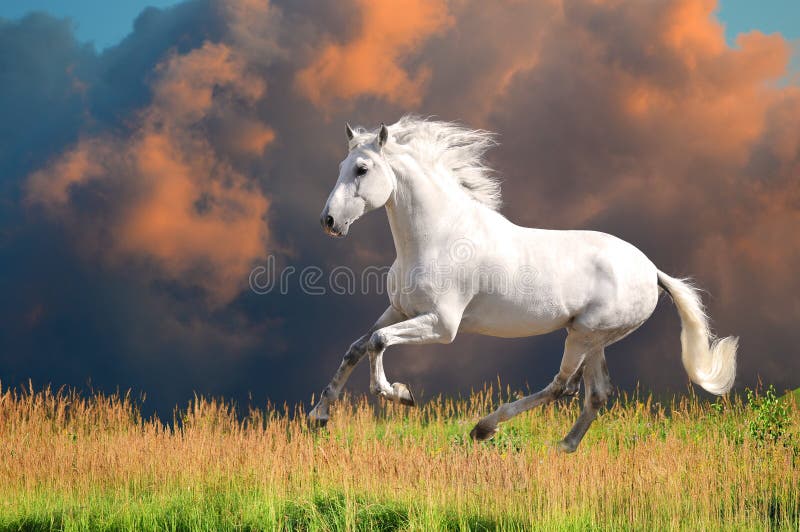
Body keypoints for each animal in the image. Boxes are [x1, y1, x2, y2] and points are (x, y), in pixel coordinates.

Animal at [308, 116, 736, 454]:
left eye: (362, 169)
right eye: (342, 165)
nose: (329, 221)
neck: (439, 236)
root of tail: (651, 271)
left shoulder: (442, 325)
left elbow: (379, 344)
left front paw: (398, 394)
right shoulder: (400, 309)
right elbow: (357, 347)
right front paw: (319, 415)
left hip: (583, 335)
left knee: (561, 386)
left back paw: (485, 428)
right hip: (595, 339)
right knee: (595, 393)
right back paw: (563, 446)